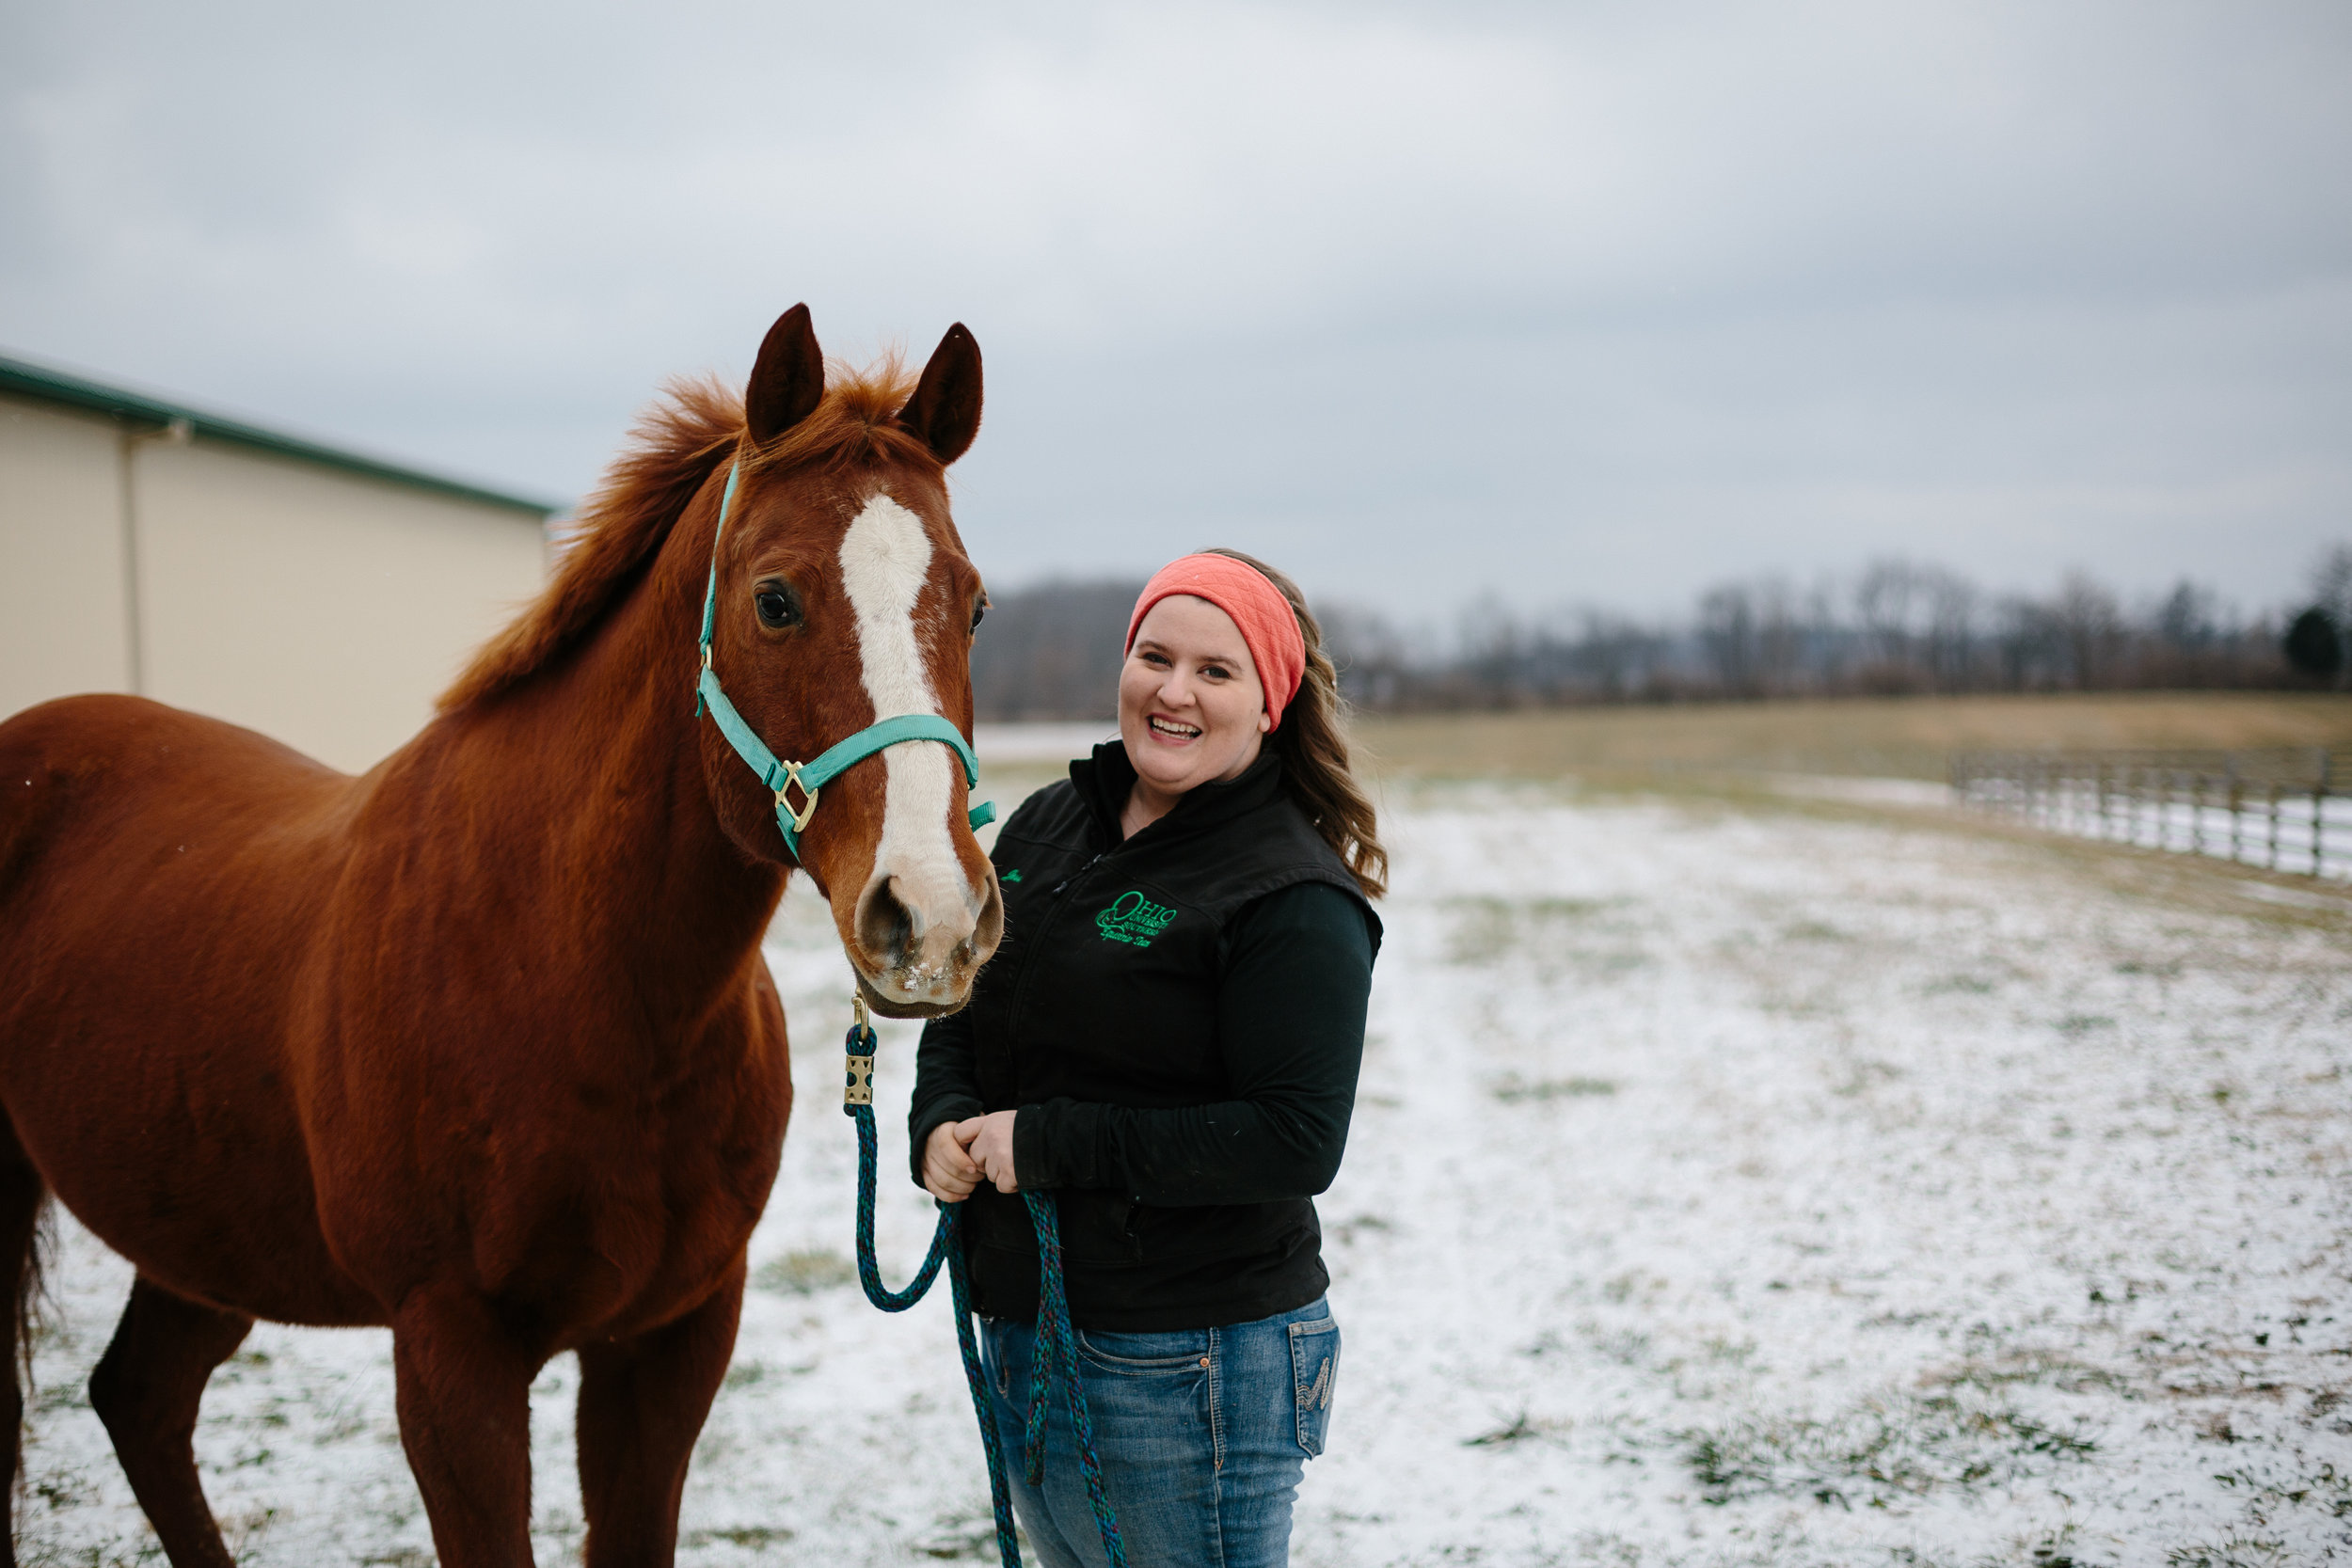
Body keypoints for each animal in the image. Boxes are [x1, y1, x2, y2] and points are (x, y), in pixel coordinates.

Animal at [0, 300, 1002, 1560]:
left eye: (975, 603)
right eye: (776, 599)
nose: (932, 915)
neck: (577, 981)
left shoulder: (672, 1342)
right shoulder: (452, 1358)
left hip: (199, 1227)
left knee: (140, 1399)